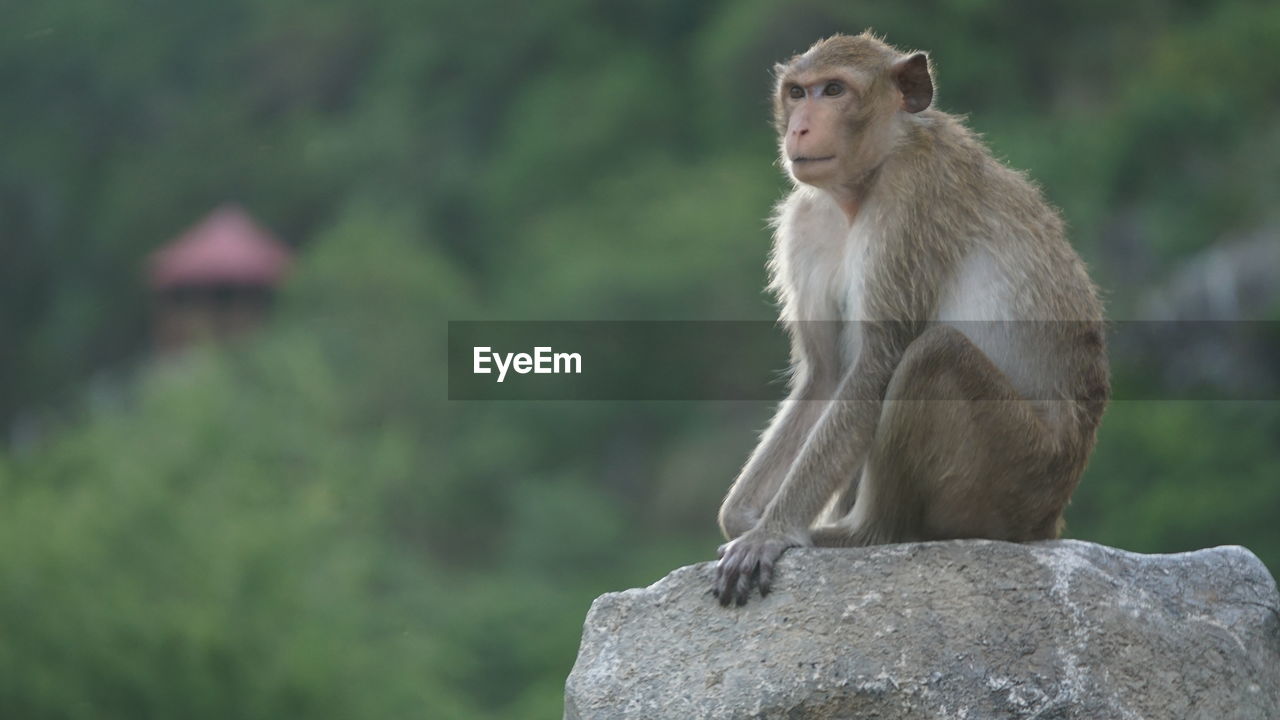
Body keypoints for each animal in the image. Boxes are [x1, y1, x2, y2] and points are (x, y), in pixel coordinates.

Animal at [711, 33, 1111, 604]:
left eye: (834, 90)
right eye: (797, 92)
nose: (799, 127)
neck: (863, 186)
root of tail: (1047, 521)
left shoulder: (912, 199)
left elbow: (877, 362)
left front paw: (772, 530)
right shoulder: (805, 222)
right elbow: (827, 375)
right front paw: (744, 516)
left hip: (1021, 470)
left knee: (934, 356)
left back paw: (866, 533)